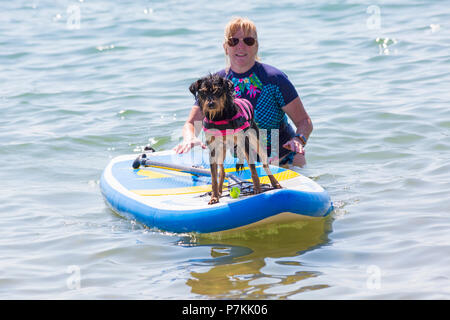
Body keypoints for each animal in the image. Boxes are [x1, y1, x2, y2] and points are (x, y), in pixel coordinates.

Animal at [189, 73, 282, 204]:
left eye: (218, 91)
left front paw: (258, 189)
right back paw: (219, 192)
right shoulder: (213, 148)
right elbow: (213, 176)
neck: (219, 117)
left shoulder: (244, 141)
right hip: (221, 150)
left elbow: (253, 168)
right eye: (203, 93)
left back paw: (275, 183)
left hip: (255, 140)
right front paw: (214, 196)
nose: (210, 104)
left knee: (264, 163)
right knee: (222, 171)